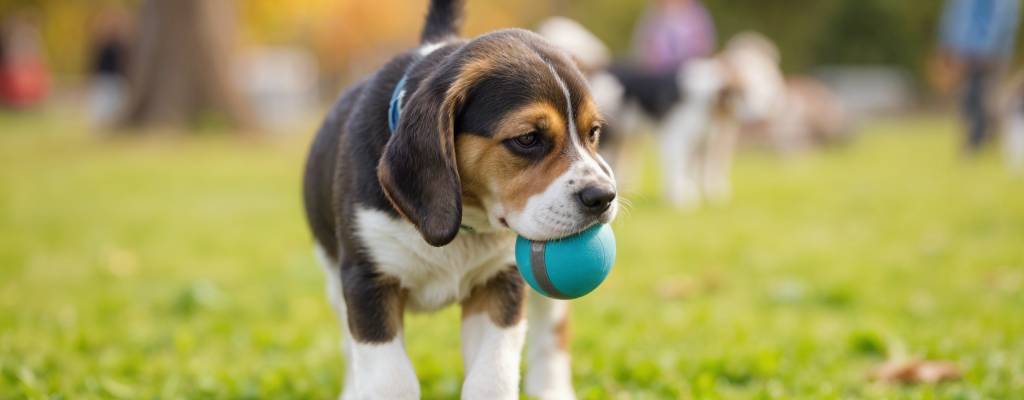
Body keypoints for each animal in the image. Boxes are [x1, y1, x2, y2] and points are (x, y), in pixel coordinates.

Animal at [299, 1, 618, 398]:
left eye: (594, 133)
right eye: (527, 138)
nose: (603, 196)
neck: (466, 220)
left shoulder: (500, 283)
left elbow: (492, 377)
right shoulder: (366, 283)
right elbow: (391, 379)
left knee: (552, 333)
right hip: (335, 282)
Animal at [540, 17, 786, 208]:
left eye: (767, 85)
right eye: (744, 89)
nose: (763, 114)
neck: (710, 101)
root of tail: (600, 65)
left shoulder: (706, 141)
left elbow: (704, 170)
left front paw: (706, 195)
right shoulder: (676, 138)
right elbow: (678, 168)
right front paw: (679, 199)